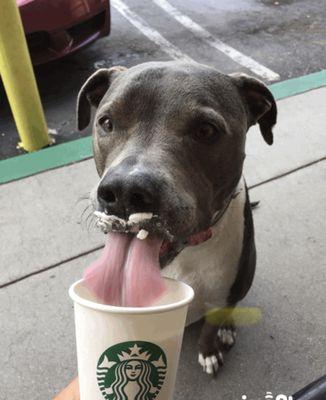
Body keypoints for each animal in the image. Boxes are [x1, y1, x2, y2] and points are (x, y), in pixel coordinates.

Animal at [77, 61, 278, 376]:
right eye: (107, 123)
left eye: (206, 130)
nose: (124, 192)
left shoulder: (219, 298)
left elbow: (209, 329)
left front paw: (209, 351)